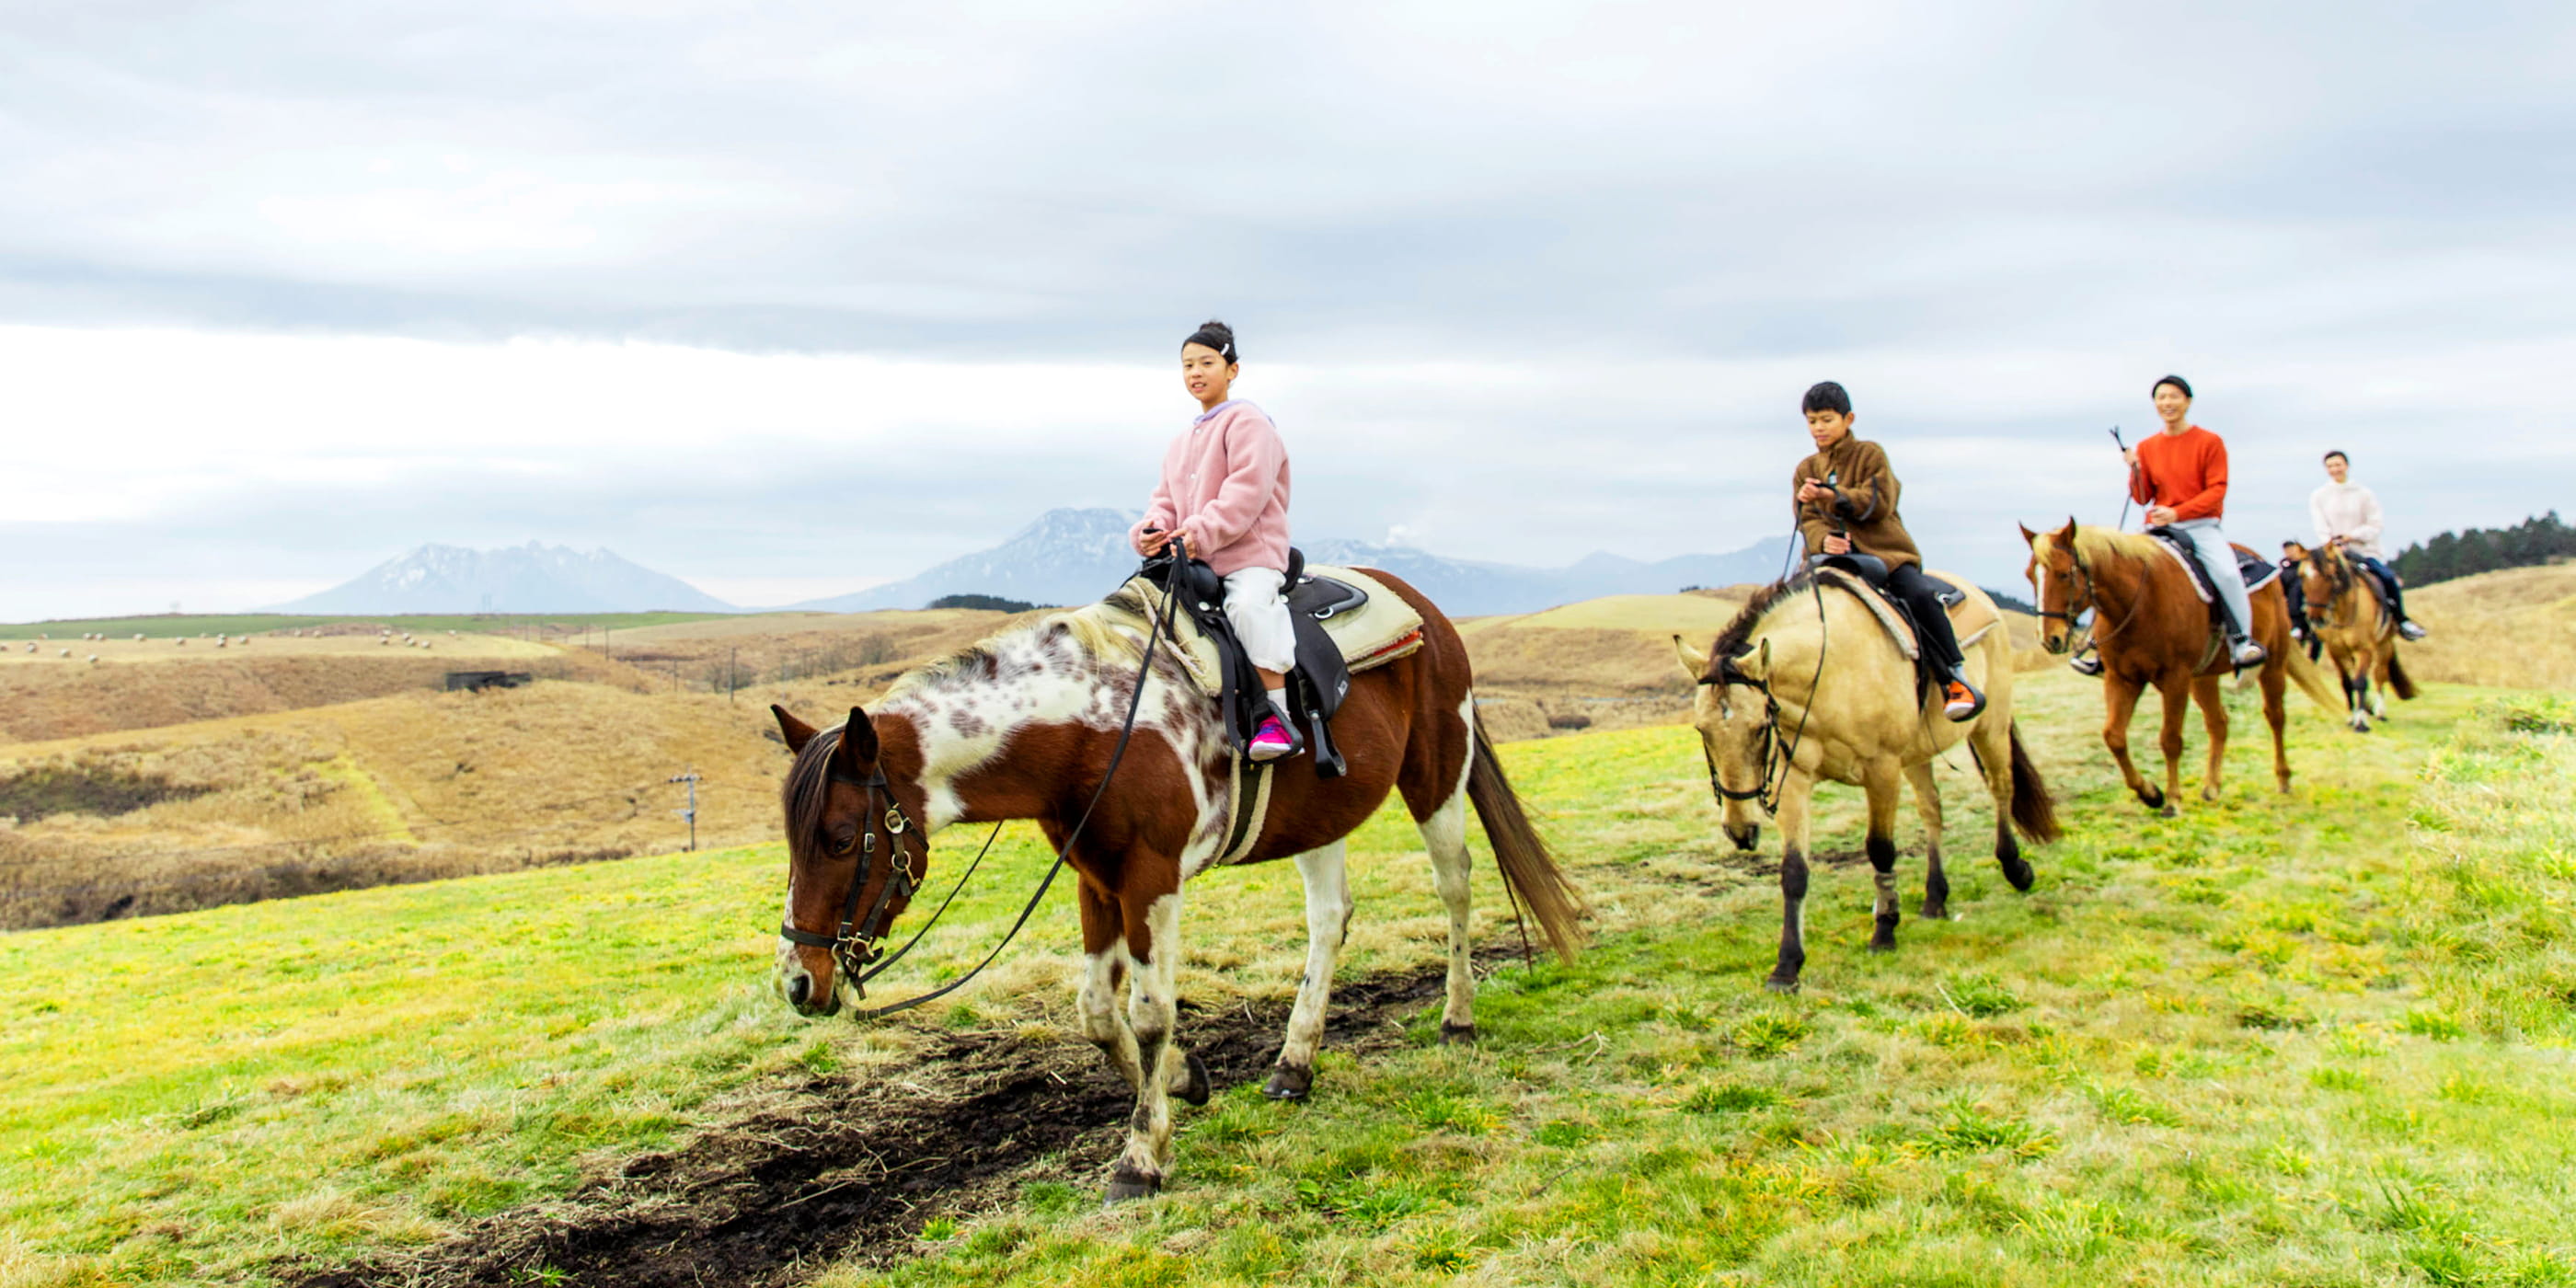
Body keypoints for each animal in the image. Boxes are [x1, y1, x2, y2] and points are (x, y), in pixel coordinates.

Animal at [762, 569, 1576, 1200]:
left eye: (840, 839)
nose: (799, 983)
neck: (1093, 728)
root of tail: (1426, 610)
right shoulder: (1097, 880)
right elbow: (1096, 1012)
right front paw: (1186, 1078)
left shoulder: (1152, 880)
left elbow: (1150, 1014)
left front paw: (1142, 1157)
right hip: (1323, 817)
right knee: (1330, 919)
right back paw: (1294, 1064)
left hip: (1437, 773)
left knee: (1456, 886)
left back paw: (1457, 1018)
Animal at [1669, 574, 2071, 994]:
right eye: (1701, 730)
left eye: (1760, 728)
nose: (1740, 829)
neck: (1830, 673)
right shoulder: (1794, 777)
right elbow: (1794, 871)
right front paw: (1787, 967)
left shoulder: (1882, 770)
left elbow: (1880, 850)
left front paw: (1884, 931)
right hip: (1918, 754)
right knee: (1932, 809)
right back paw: (1935, 899)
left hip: (1990, 726)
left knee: (2001, 787)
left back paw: (2015, 868)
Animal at [2019, 517, 2349, 809]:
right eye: (2030, 575)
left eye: (2064, 574)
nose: (2050, 639)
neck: (2139, 602)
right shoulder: (2122, 678)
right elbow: (2114, 736)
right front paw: (2149, 793)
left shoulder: (2174, 678)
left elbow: (2170, 739)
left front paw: (2173, 800)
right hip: (2203, 678)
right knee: (2218, 722)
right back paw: (2212, 786)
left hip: (2272, 665)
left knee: (2276, 717)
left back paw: (2282, 778)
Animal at [2297, 538, 2410, 731]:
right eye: (2302, 576)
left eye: (2330, 575)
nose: (2316, 618)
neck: (2344, 612)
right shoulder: (2336, 651)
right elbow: (2347, 683)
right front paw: (2352, 717)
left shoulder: (2365, 649)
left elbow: (2361, 682)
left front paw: (2361, 723)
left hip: (2384, 644)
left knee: (2380, 674)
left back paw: (2380, 712)